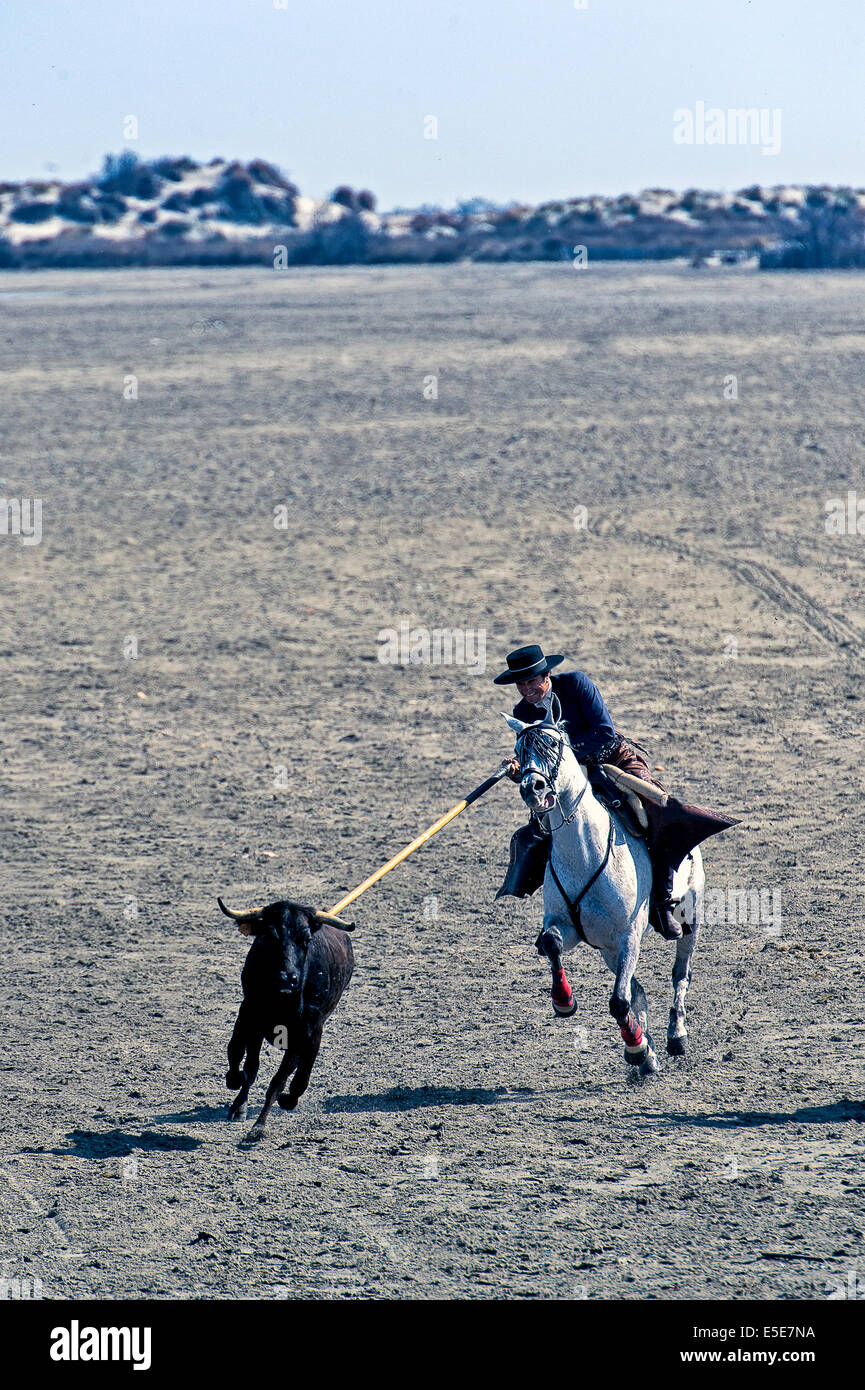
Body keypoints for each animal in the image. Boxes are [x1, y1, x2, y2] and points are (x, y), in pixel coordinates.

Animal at [508, 711, 706, 1078]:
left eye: (553, 743)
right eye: (518, 750)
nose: (532, 788)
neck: (584, 852)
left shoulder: (629, 936)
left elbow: (618, 1001)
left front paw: (636, 1049)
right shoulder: (574, 930)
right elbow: (552, 944)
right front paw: (564, 1001)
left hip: (690, 918)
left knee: (679, 975)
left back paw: (676, 1036)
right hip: (609, 951)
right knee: (638, 990)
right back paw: (649, 1052)